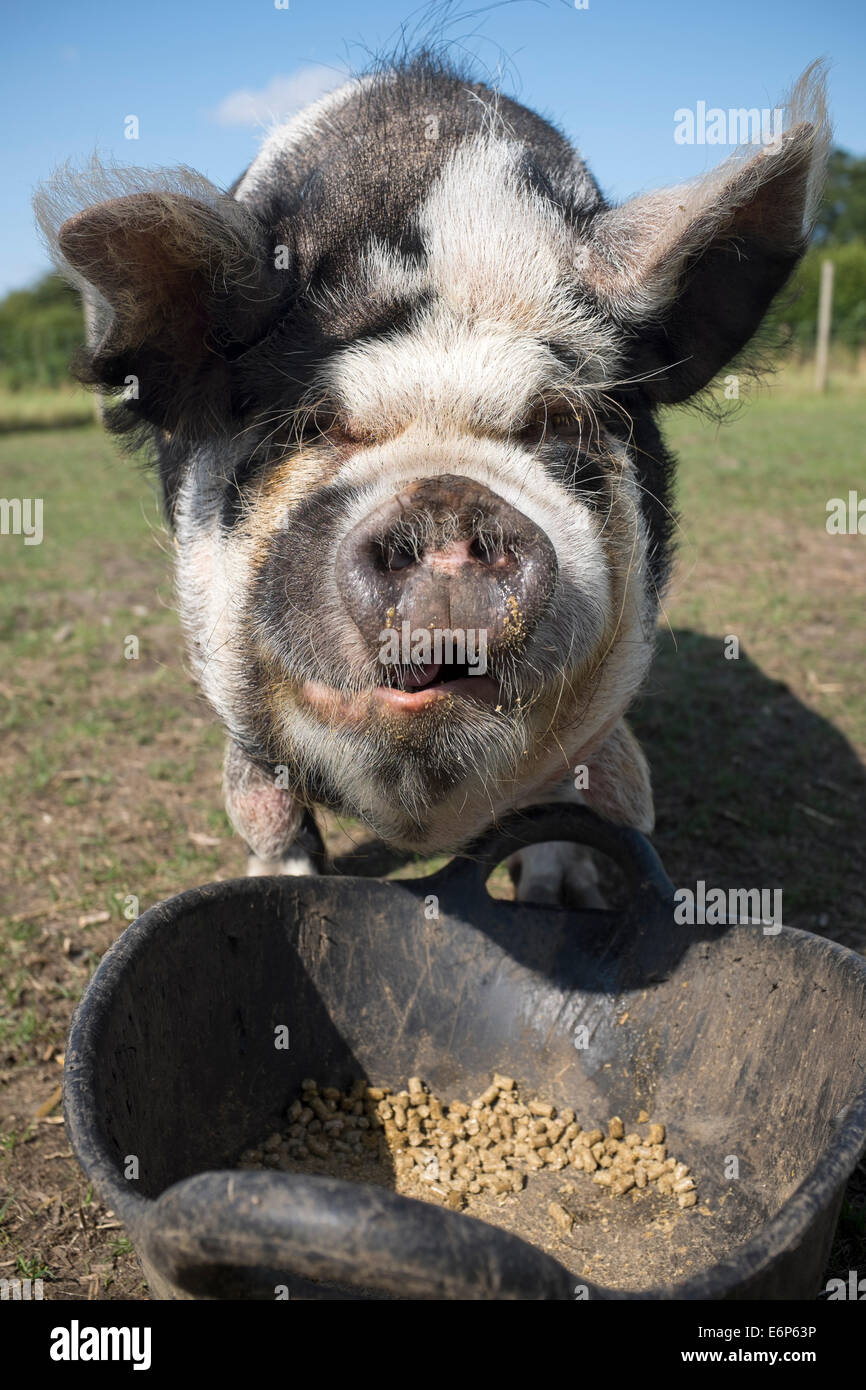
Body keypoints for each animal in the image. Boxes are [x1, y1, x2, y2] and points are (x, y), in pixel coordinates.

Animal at [35, 55, 828, 904]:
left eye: (558, 422)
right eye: (314, 424)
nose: (447, 499)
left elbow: (595, 793)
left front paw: (558, 900)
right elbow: (258, 798)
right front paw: (281, 884)